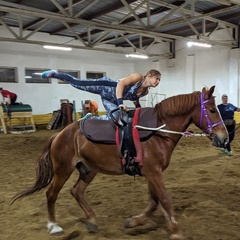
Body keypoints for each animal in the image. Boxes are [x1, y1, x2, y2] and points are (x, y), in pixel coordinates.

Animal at [12, 85, 228, 239]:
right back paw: (53, 225)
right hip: (63, 170)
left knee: (77, 191)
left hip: (89, 169)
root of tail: (59, 134)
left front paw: (134, 221)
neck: (158, 131)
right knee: (51, 194)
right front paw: (175, 231)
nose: (224, 138)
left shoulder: (151, 172)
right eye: (211, 110)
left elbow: (154, 201)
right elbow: (164, 199)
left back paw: (92, 220)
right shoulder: (153, 172)